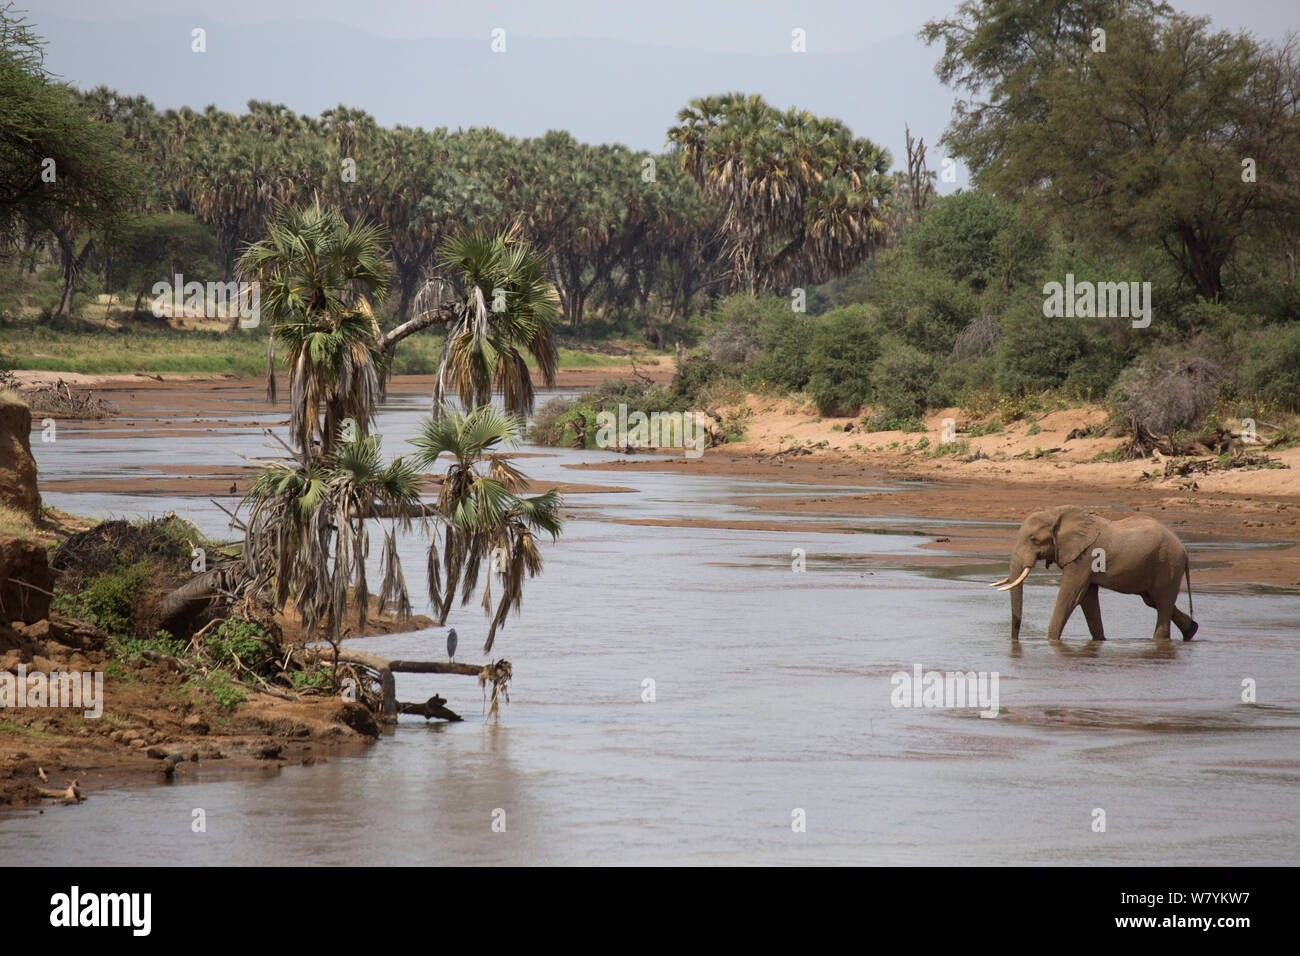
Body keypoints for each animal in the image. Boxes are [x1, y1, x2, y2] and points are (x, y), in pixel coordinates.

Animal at [993, 509, 1196, 642]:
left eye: (1033, 539)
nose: (1014, 641)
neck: (1057, 513)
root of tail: (1185, 550)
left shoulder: (1083, 557)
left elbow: (1071, 597)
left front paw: (1051, 641)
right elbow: (1087, 599)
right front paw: (1100, 641)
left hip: (1168, 565)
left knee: (1163, 603)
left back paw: (1160, 641)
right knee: (1153, 601)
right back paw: (1191, 631)